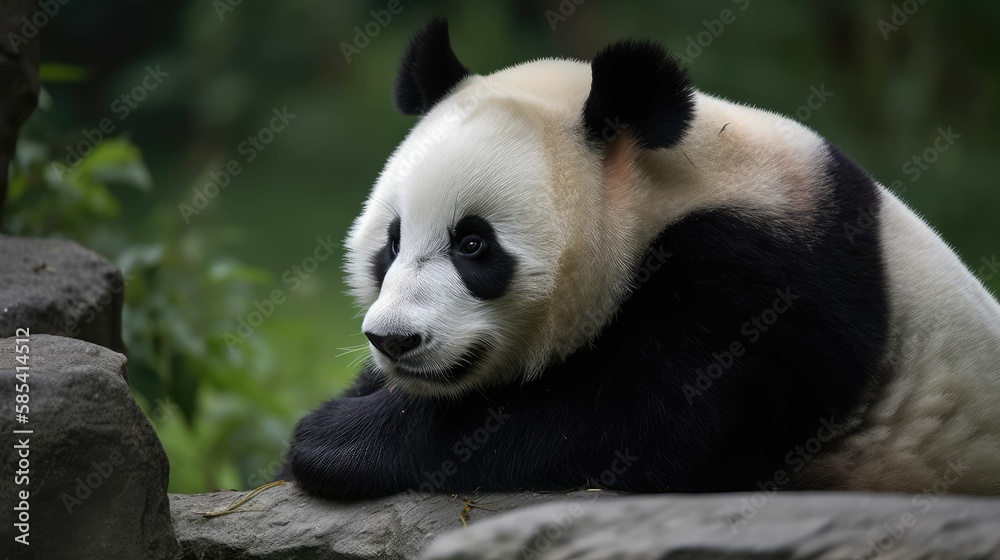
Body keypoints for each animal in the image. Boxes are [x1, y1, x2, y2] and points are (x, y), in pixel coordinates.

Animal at [285, 18, 1000, 499]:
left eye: (473, 244)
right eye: (391, 243)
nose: (394, 340)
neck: (669, 186)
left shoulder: (761, 278)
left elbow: (640, 426)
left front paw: (334, 438)